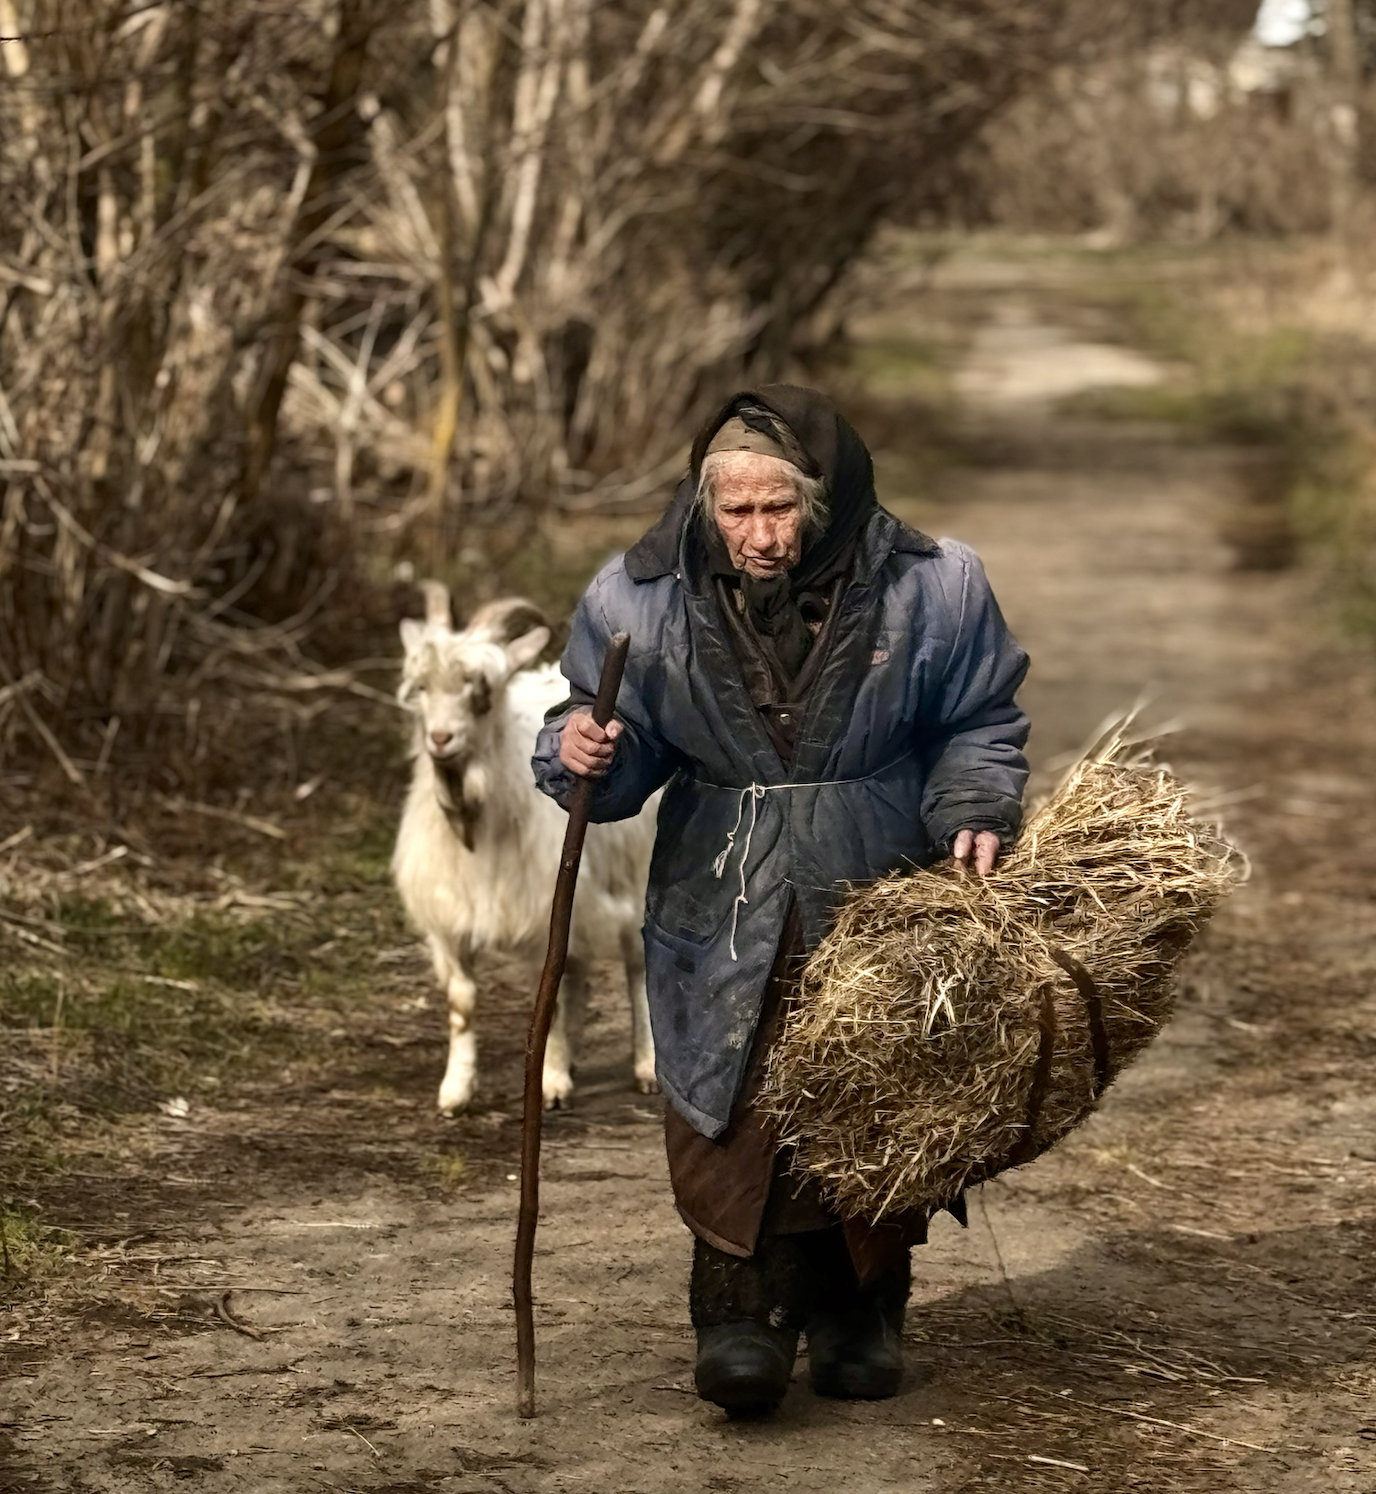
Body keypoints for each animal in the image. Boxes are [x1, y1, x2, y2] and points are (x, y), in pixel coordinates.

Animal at [392, 583, 659, 1115]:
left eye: (481, 692)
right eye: (421, 688)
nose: (440, 739)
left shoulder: (539, 918)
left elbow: (549, 1002)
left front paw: (548, 1078)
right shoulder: (450, 921)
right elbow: (463, 1003)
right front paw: (456, 1090)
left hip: (632, 874)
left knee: (636, 966)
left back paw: (643, 1065)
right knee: (577, 972)